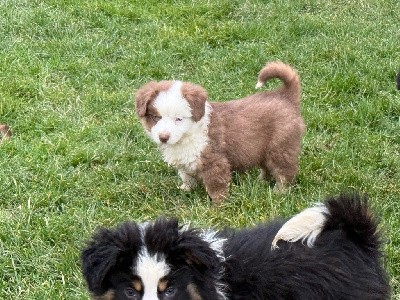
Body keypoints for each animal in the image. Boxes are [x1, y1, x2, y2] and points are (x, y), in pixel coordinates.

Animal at [136, 62, 304, 204]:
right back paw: (261, 182)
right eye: (156, 117)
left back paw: (279, 191)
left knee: (285, 171)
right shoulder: (185, 162)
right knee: (268, 167)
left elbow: (216, 187)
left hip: (280, 147)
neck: (188, 135)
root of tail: (284, 95)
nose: (163, 137)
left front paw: (218, 206)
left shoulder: (215, 162)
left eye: (179, 119)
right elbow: (187, 176)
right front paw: (185, 189)